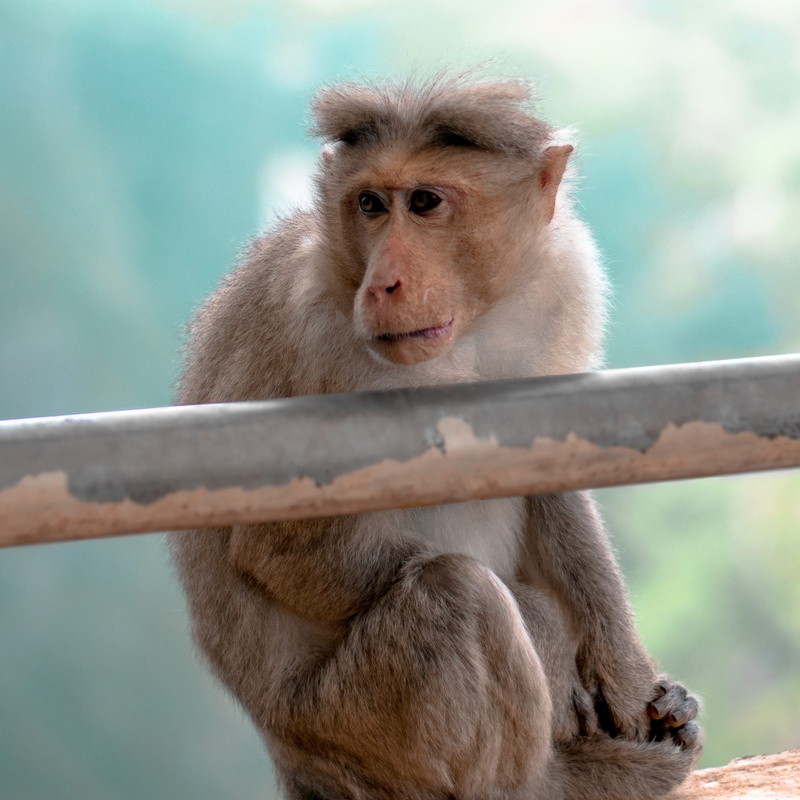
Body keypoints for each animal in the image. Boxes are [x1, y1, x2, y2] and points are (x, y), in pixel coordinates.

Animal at [171, 73, 701, 800]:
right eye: (370, 204)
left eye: (425, 202)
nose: (383, 284)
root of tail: (296, 760)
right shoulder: (320, 340)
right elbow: (282, 546)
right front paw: (546, 633)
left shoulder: (564, 282)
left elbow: (553, 464)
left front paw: (632, 678)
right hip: (357, 725)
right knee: (456, 592)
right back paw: (562, 780)